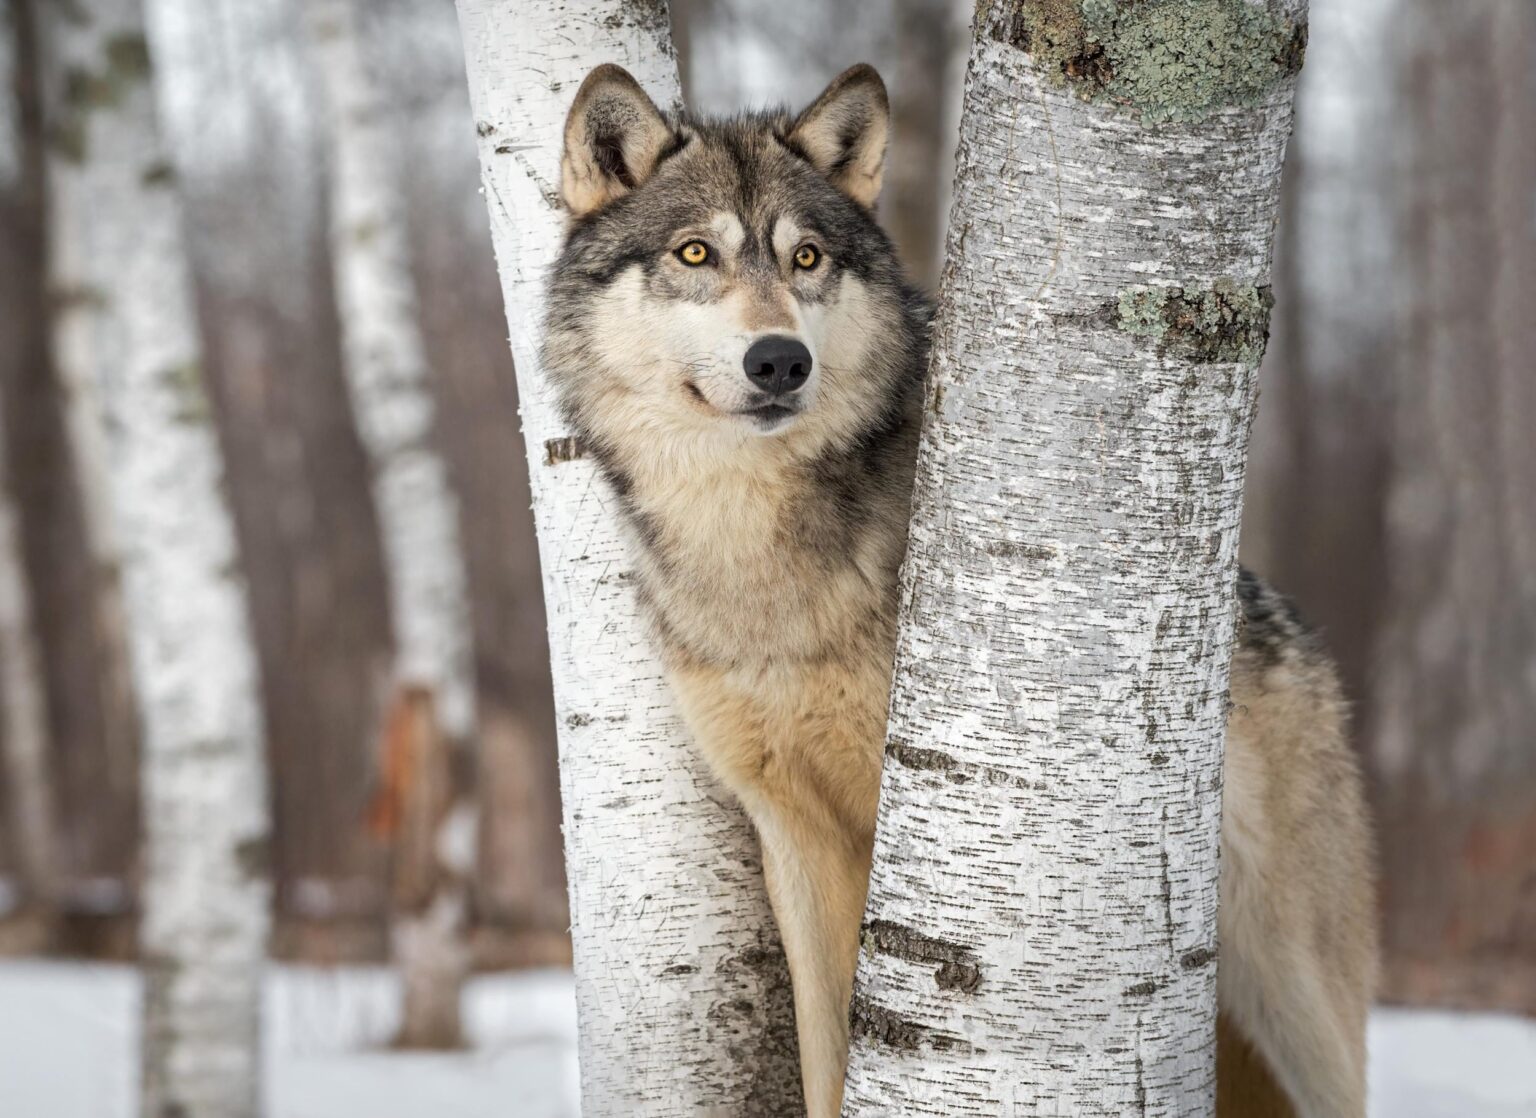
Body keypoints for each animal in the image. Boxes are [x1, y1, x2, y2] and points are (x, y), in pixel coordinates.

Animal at [544, 62, 1377, 1118]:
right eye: (696, 252)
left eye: (807, 257)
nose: (780, 360)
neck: (759, 560)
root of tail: (1291, 626)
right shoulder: (795, 838)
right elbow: (825, 1059)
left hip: (1298, 1005)